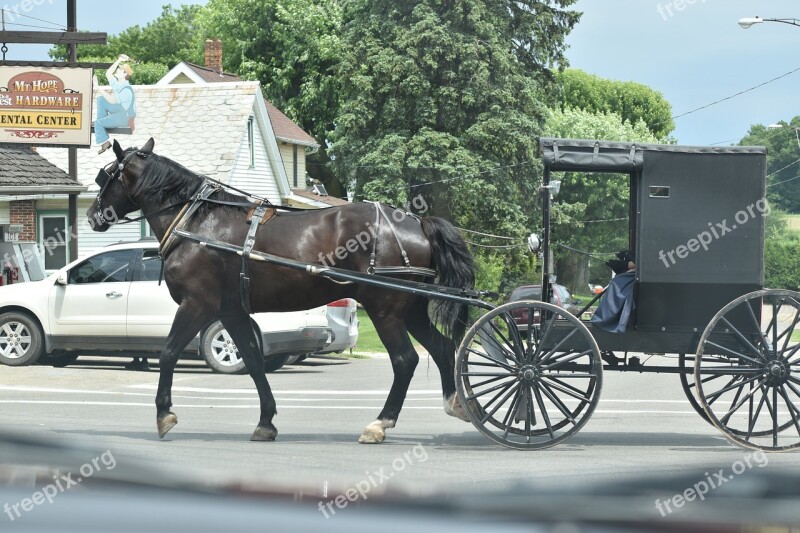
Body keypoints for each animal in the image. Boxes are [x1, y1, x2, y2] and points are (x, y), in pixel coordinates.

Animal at [87, 137, 476, 440]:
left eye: (106, 177)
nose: (92, 216)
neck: (195, 221)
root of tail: (417, 222)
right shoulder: (232, 310)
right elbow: (254, 361)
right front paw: (265, 422)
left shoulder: (198, 304)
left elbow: (168, 353)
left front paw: (163, 414)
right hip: (411, 309)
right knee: (442, 348)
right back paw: (455, 403)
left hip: (386, 310)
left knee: (405, 360)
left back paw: (381, 423)